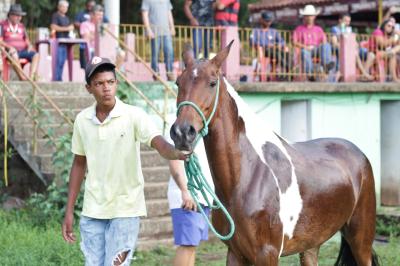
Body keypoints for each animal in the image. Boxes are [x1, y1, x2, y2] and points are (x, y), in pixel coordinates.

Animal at [170, 41, 380, 266]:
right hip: (311, 245)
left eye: (212, 82)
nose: (182, 132)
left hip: (360, 241)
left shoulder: (267, 254)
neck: (246, 176)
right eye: (178, 82)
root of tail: (359, 155)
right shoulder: (235, 253)